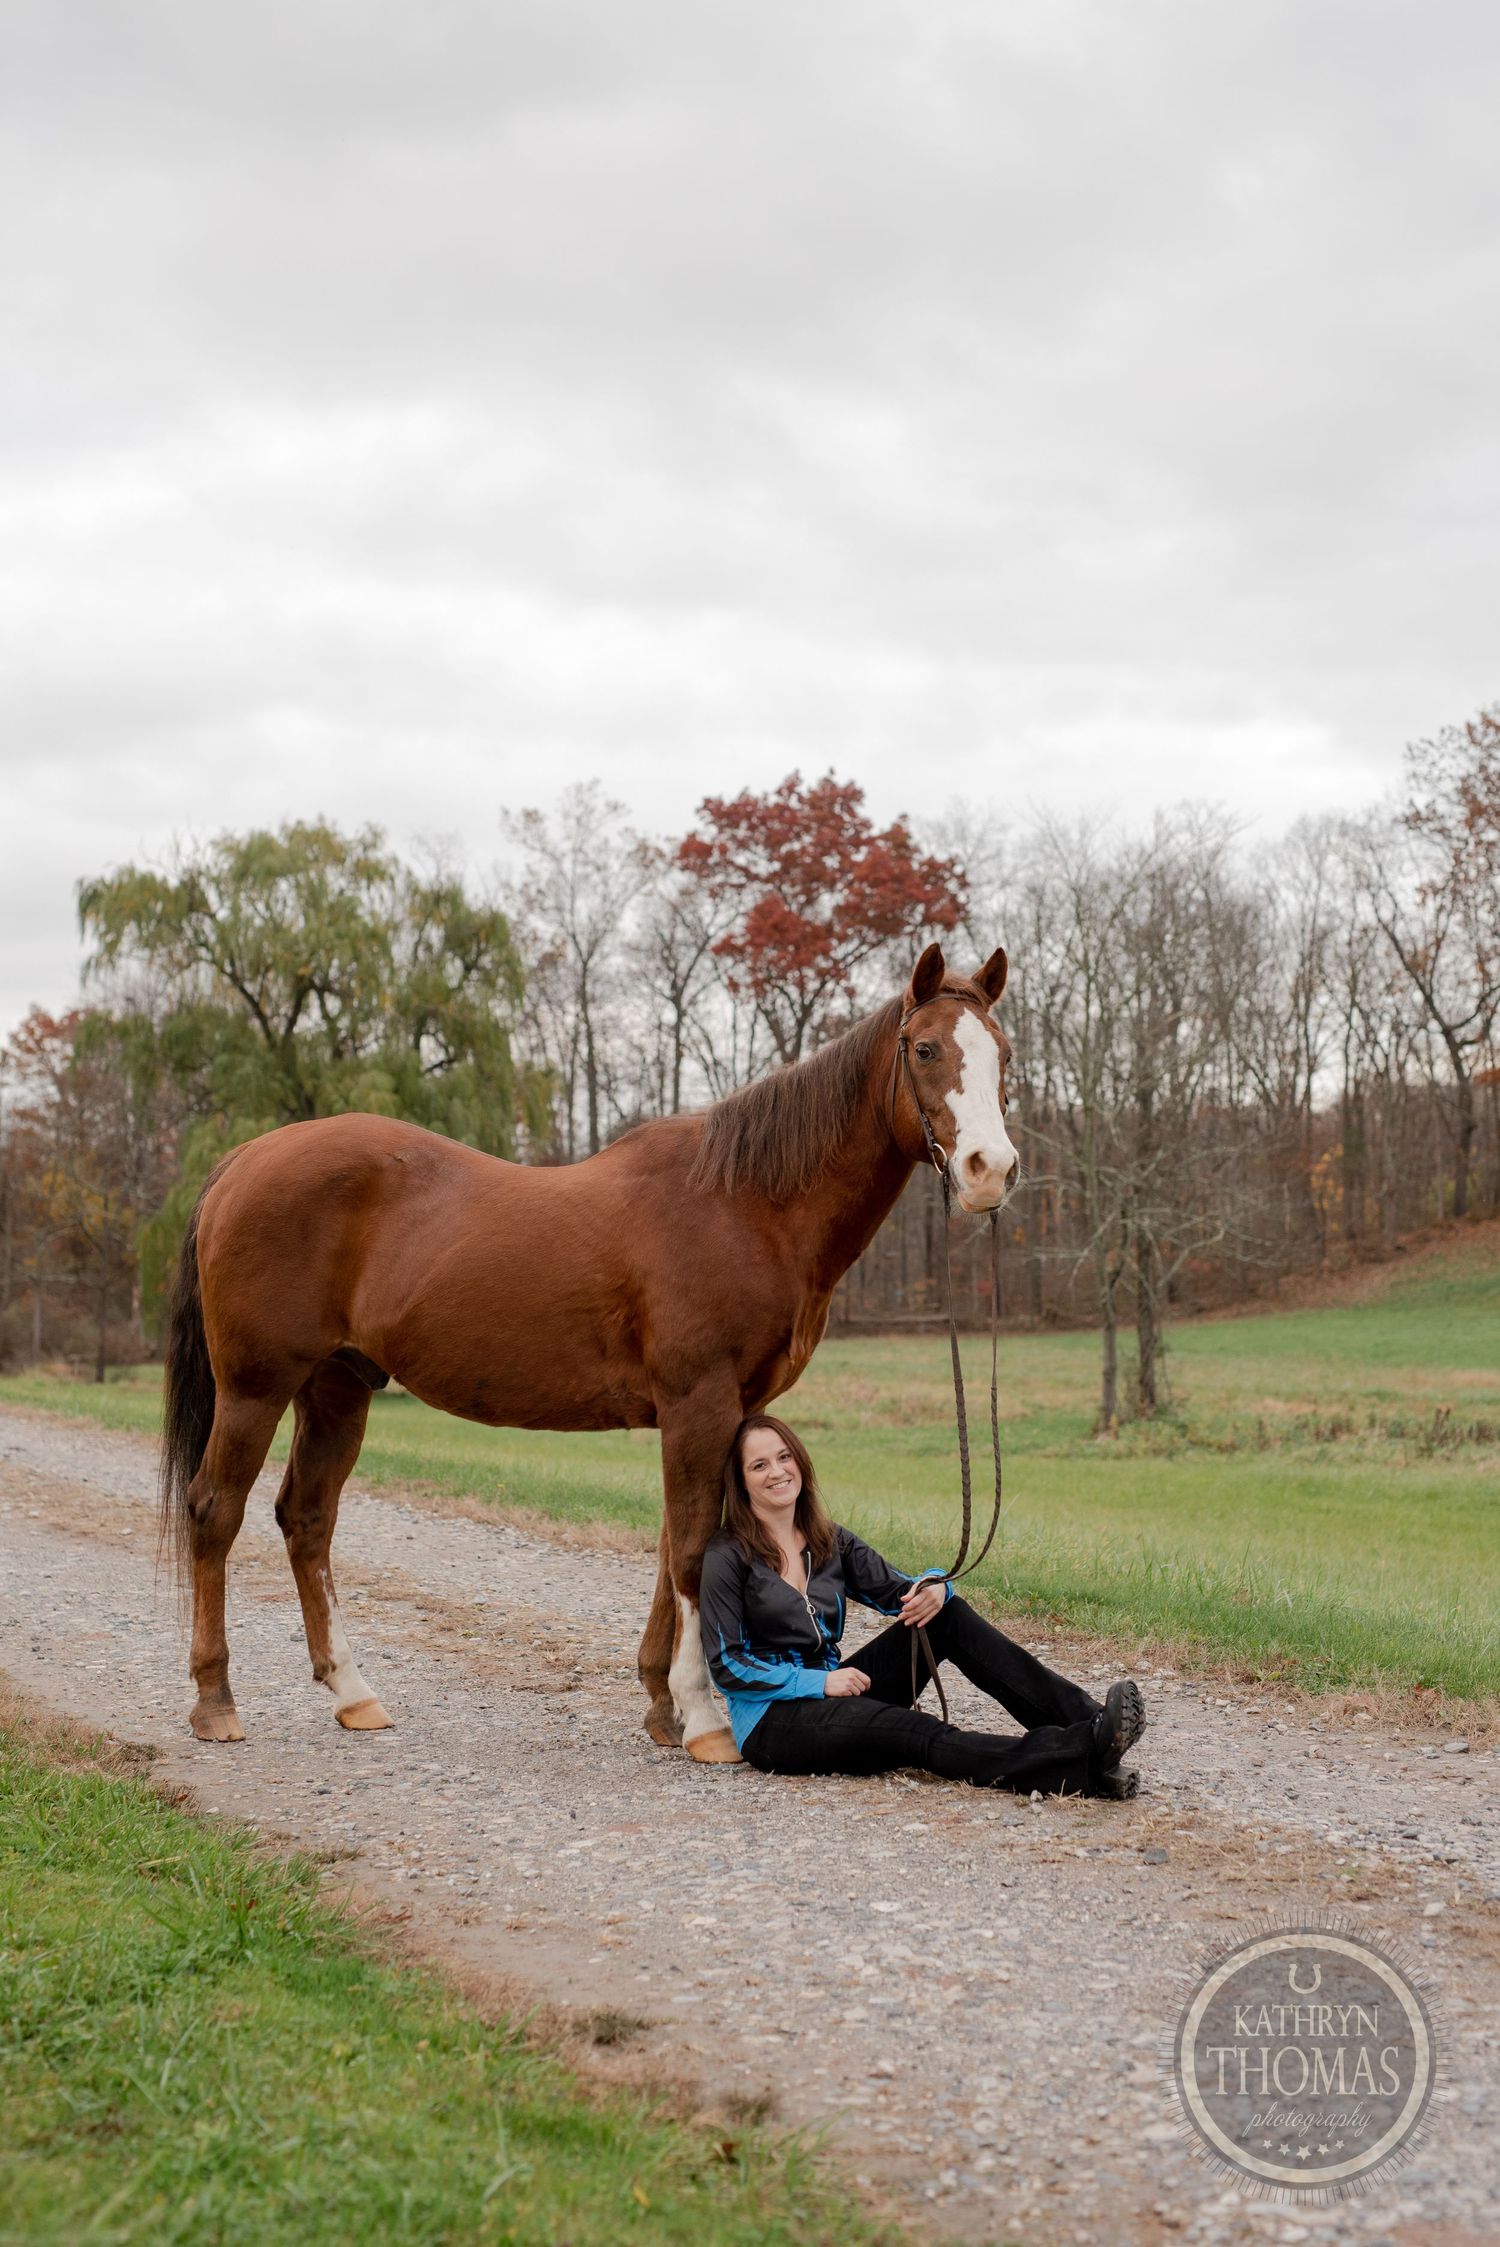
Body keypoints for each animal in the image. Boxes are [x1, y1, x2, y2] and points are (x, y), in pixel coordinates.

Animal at [159, 940, 1019, 1763]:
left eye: (1003, 1052)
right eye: (925, 1048)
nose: (992, 1171)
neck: (745, 1206)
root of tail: (241, 1162)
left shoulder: (720, 1411)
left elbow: (677, 1545)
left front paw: (662, 1706)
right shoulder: (698, 1402)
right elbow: (691, 1551)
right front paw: (705, 1720)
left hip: (338, 1386)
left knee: (306, 1518)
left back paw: (353, 1692)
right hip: (256, 1387)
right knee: (215, 1510)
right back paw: (214, 1702)